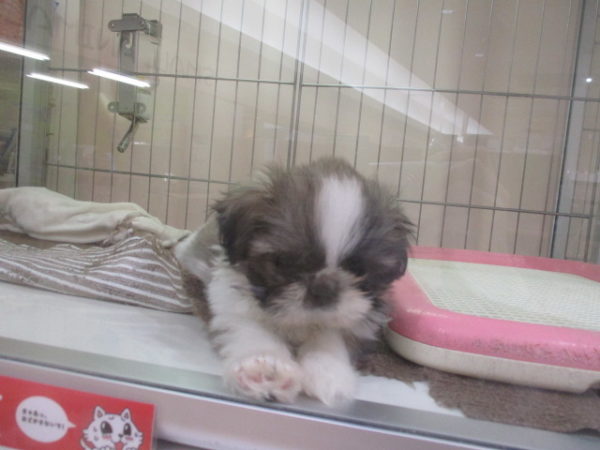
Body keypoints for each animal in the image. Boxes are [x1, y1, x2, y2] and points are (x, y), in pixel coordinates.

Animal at [175, 158, 411, 405]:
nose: (324, 288)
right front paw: (266, 368)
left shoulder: (359, 317)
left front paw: (327, 370)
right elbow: (251, 329)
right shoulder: (229, 300)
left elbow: (331, 335)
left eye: (358, 269)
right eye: (285, 262)